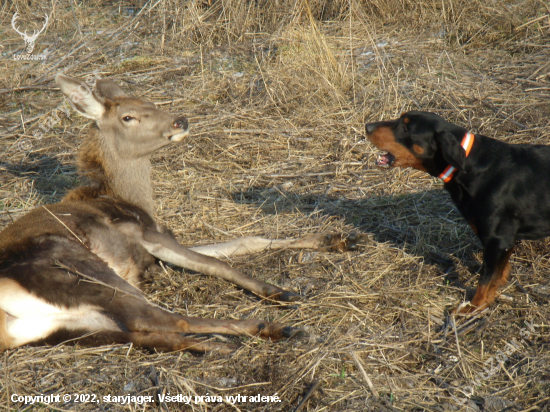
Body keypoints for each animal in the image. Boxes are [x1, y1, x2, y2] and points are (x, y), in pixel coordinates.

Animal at [0, 75, 364, 354]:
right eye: (128, 116)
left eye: (148, 100)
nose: (180, 120)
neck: (129, 198)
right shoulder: (146, 233)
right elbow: (219, 264)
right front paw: (279, 291)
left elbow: (243, 242)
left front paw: (335, 238)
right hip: (78, 269)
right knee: (157, 318)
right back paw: (271, 327)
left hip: (69, 326)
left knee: (141, 332)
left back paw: (222, 343)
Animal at [366, 111, 550, 314]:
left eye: (405, 128)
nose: (367, 126)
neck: (470, 165)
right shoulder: (500, 244)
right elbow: (496, 273)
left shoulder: (498, 240)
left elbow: (485, 280)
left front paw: (473, 307)